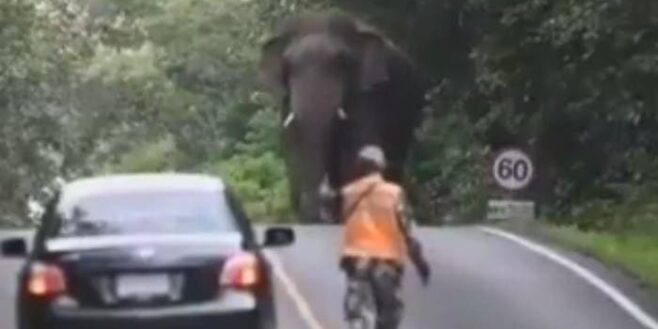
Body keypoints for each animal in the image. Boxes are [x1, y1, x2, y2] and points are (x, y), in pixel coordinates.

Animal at [256, 12, 426, 223]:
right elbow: (292, 147)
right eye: (287, 66)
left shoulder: (369, 96)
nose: (323, 203)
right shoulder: (286, 103)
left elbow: (355, 148)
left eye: (343, 62)